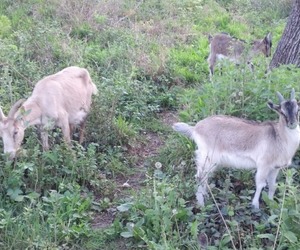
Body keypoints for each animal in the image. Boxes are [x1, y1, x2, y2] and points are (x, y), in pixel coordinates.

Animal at [172, 90, 300, 209]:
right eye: (282, 112)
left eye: (297, 110)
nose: (292, 124)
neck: (278, 136)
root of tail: (195, 128)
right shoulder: (263, 165)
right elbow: (260, 184)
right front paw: (255, 206)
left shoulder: (275, 168)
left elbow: (273, 185)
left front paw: (272, 204)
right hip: (208, 157)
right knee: (200, 177)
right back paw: (202, 204)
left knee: (204, 177)